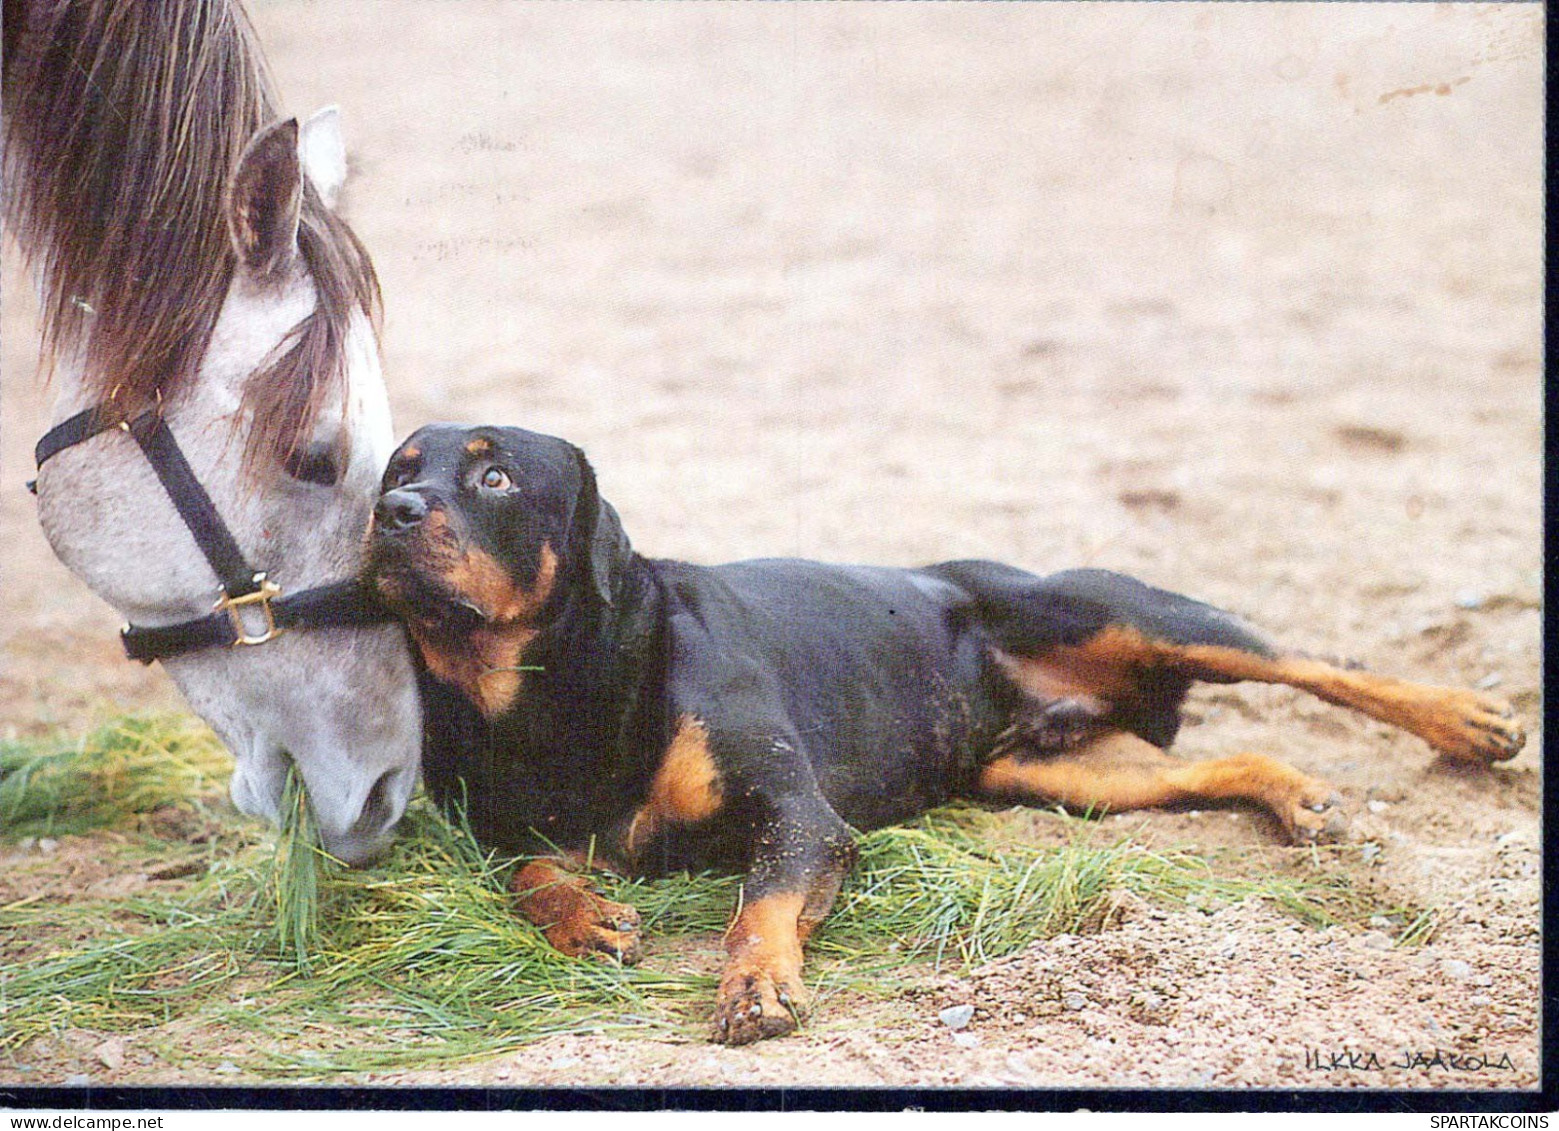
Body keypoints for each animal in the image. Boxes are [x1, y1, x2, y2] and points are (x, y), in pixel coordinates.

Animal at [367, 427, 1521, 1048]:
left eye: (495, 477)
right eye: (397, 465)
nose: (390, 508)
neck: (553, 682)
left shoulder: (801, 815)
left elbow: (758, 906)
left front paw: (756, 985)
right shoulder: (517, 834)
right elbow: (532, 875)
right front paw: (589, 916)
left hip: (1117, 611)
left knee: (1312, 663)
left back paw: (1465, 719)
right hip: (1062, 772)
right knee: (1215, 761)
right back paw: (1298, 795)